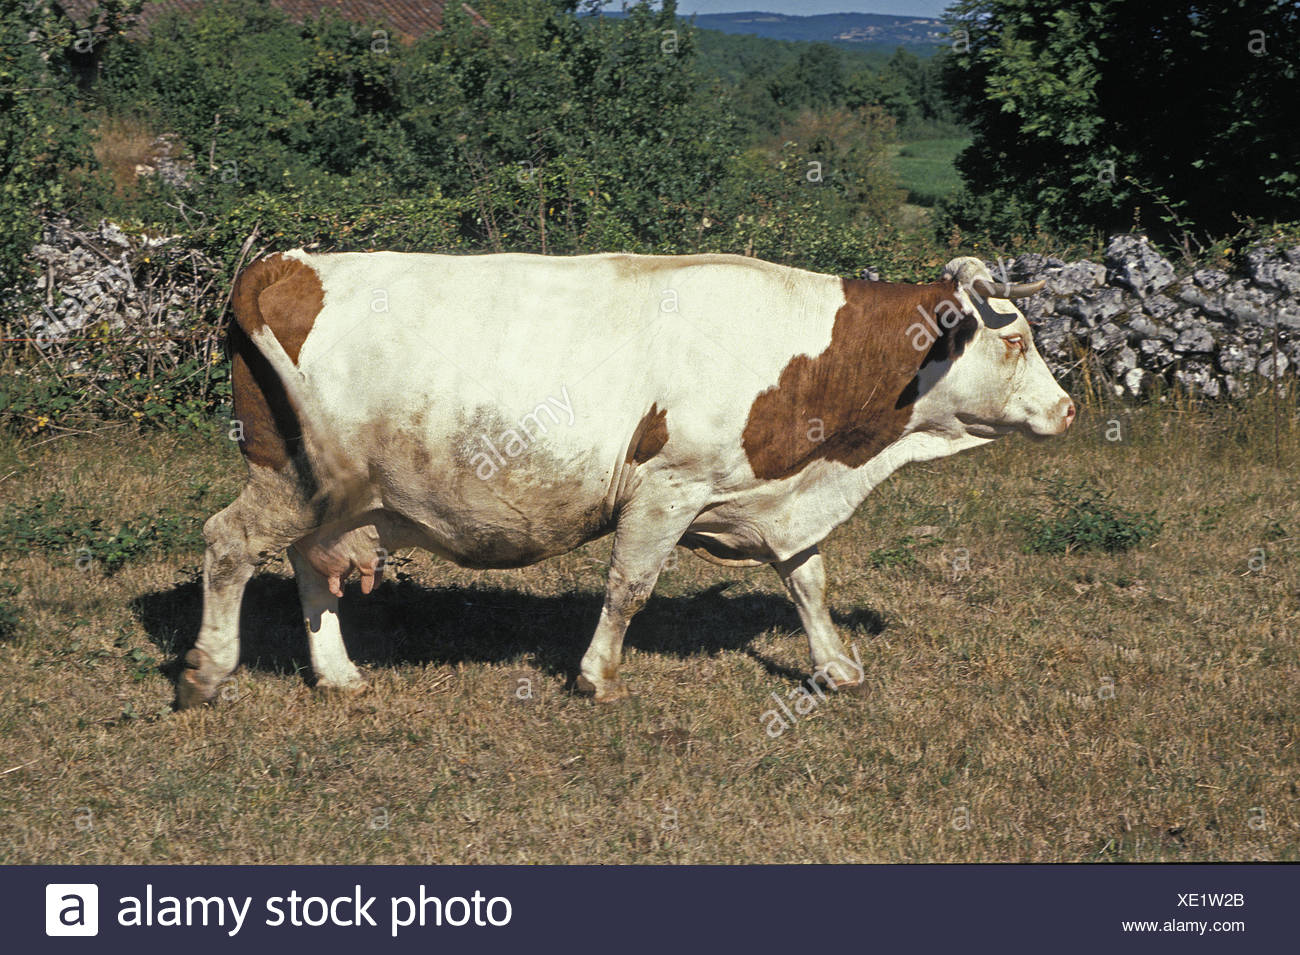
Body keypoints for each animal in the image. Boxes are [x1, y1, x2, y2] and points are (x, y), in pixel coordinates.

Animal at [178, 250, 1073, 708]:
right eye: (1017, 338)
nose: (1067, 408)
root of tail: (286, 262)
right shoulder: (666, 484)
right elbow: (630, 585)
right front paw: (597, 674)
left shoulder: (778, 497)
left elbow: (808, 581)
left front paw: (837, 665)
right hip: (293, 474)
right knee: (228, 542)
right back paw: (208, 670)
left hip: (333, 498)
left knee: (307, 563)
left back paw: (336, 672)